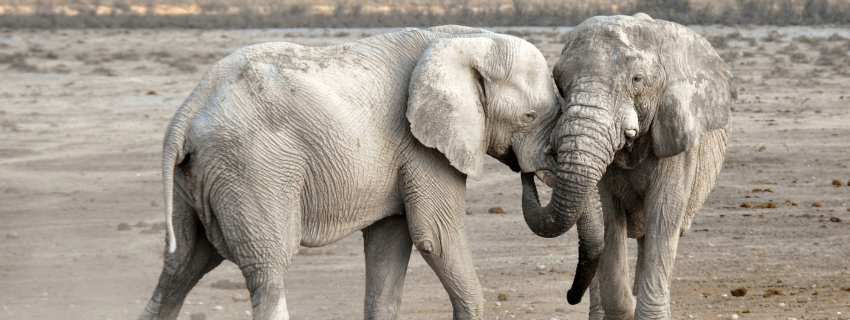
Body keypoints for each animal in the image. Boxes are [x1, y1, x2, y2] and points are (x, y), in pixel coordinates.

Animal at [137, 25, 564, 320]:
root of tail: (187, 110)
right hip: (252, 168)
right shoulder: (421, 147)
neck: (468, 39)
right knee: (267, 270)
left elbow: (389, 248)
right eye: (529, 117)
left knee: (180, 268)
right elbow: (435, 237)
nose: (529, 172)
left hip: (198, 177)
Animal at [516, 13, 736, 318]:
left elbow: (664, 215)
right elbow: (608, 218)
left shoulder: (676, 134)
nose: (570, 296)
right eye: (559, 83)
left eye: (637, 79)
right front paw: (628, 306)